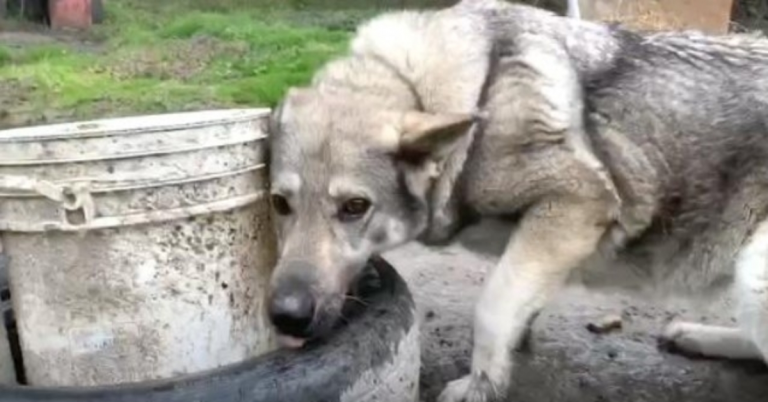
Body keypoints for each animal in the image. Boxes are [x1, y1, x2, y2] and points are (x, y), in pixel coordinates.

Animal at [262, 1, 768, 400]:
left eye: (354, 207)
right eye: (280, 204)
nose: (285, 316)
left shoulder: (575, 204)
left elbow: (493, 305)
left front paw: (481, 385)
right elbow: (515, 300)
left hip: (753, 272)